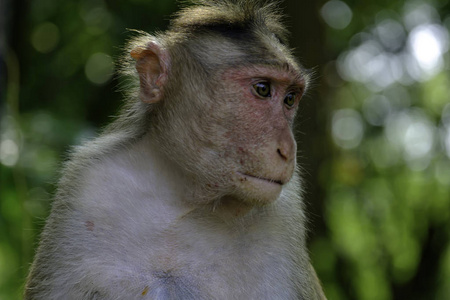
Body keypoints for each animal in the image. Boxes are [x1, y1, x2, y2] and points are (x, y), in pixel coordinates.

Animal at [24, 1, 326, 298]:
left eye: (290, 99)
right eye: (263, 89)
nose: (288, 150)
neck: (183, 196)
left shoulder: (285, 214)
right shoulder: (86, 184)